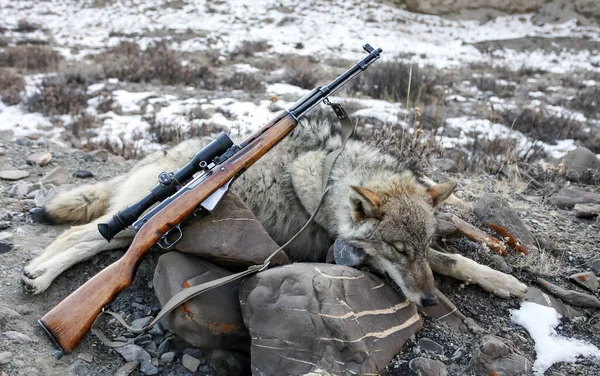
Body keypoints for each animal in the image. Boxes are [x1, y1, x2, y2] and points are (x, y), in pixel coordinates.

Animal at [22, 120, 524, 306]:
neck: (332, 177)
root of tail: (162, 160)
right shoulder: (344, 251)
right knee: (80, 237)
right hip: (139, 228)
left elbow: (451, 259)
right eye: (399, 251)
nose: (429, 302)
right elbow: (452, 262)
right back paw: (39, 278)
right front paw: (506, 281)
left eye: (417, 248)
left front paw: (503, 280)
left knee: (88, 240)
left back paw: (37, 274)